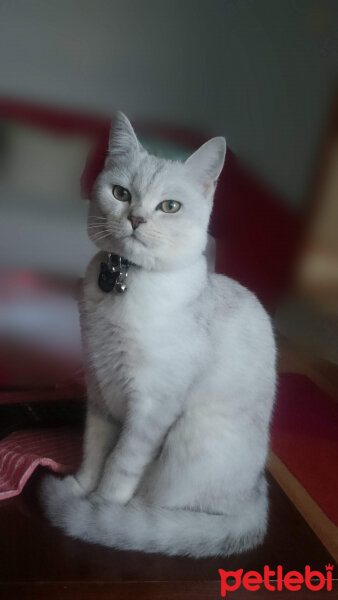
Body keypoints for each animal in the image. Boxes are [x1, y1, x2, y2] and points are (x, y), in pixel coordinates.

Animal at [41, 112, 276, 556]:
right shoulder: (100, 390)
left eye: (170, 206)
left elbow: (119, 463)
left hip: (190, 437)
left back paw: (132, 517)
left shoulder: (150, 406)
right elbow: (94, 450)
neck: (125, 282)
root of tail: (257, 497)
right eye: (120, 193)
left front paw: (99, 507)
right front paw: (81, 488)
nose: (136, 219)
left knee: (161, 504)